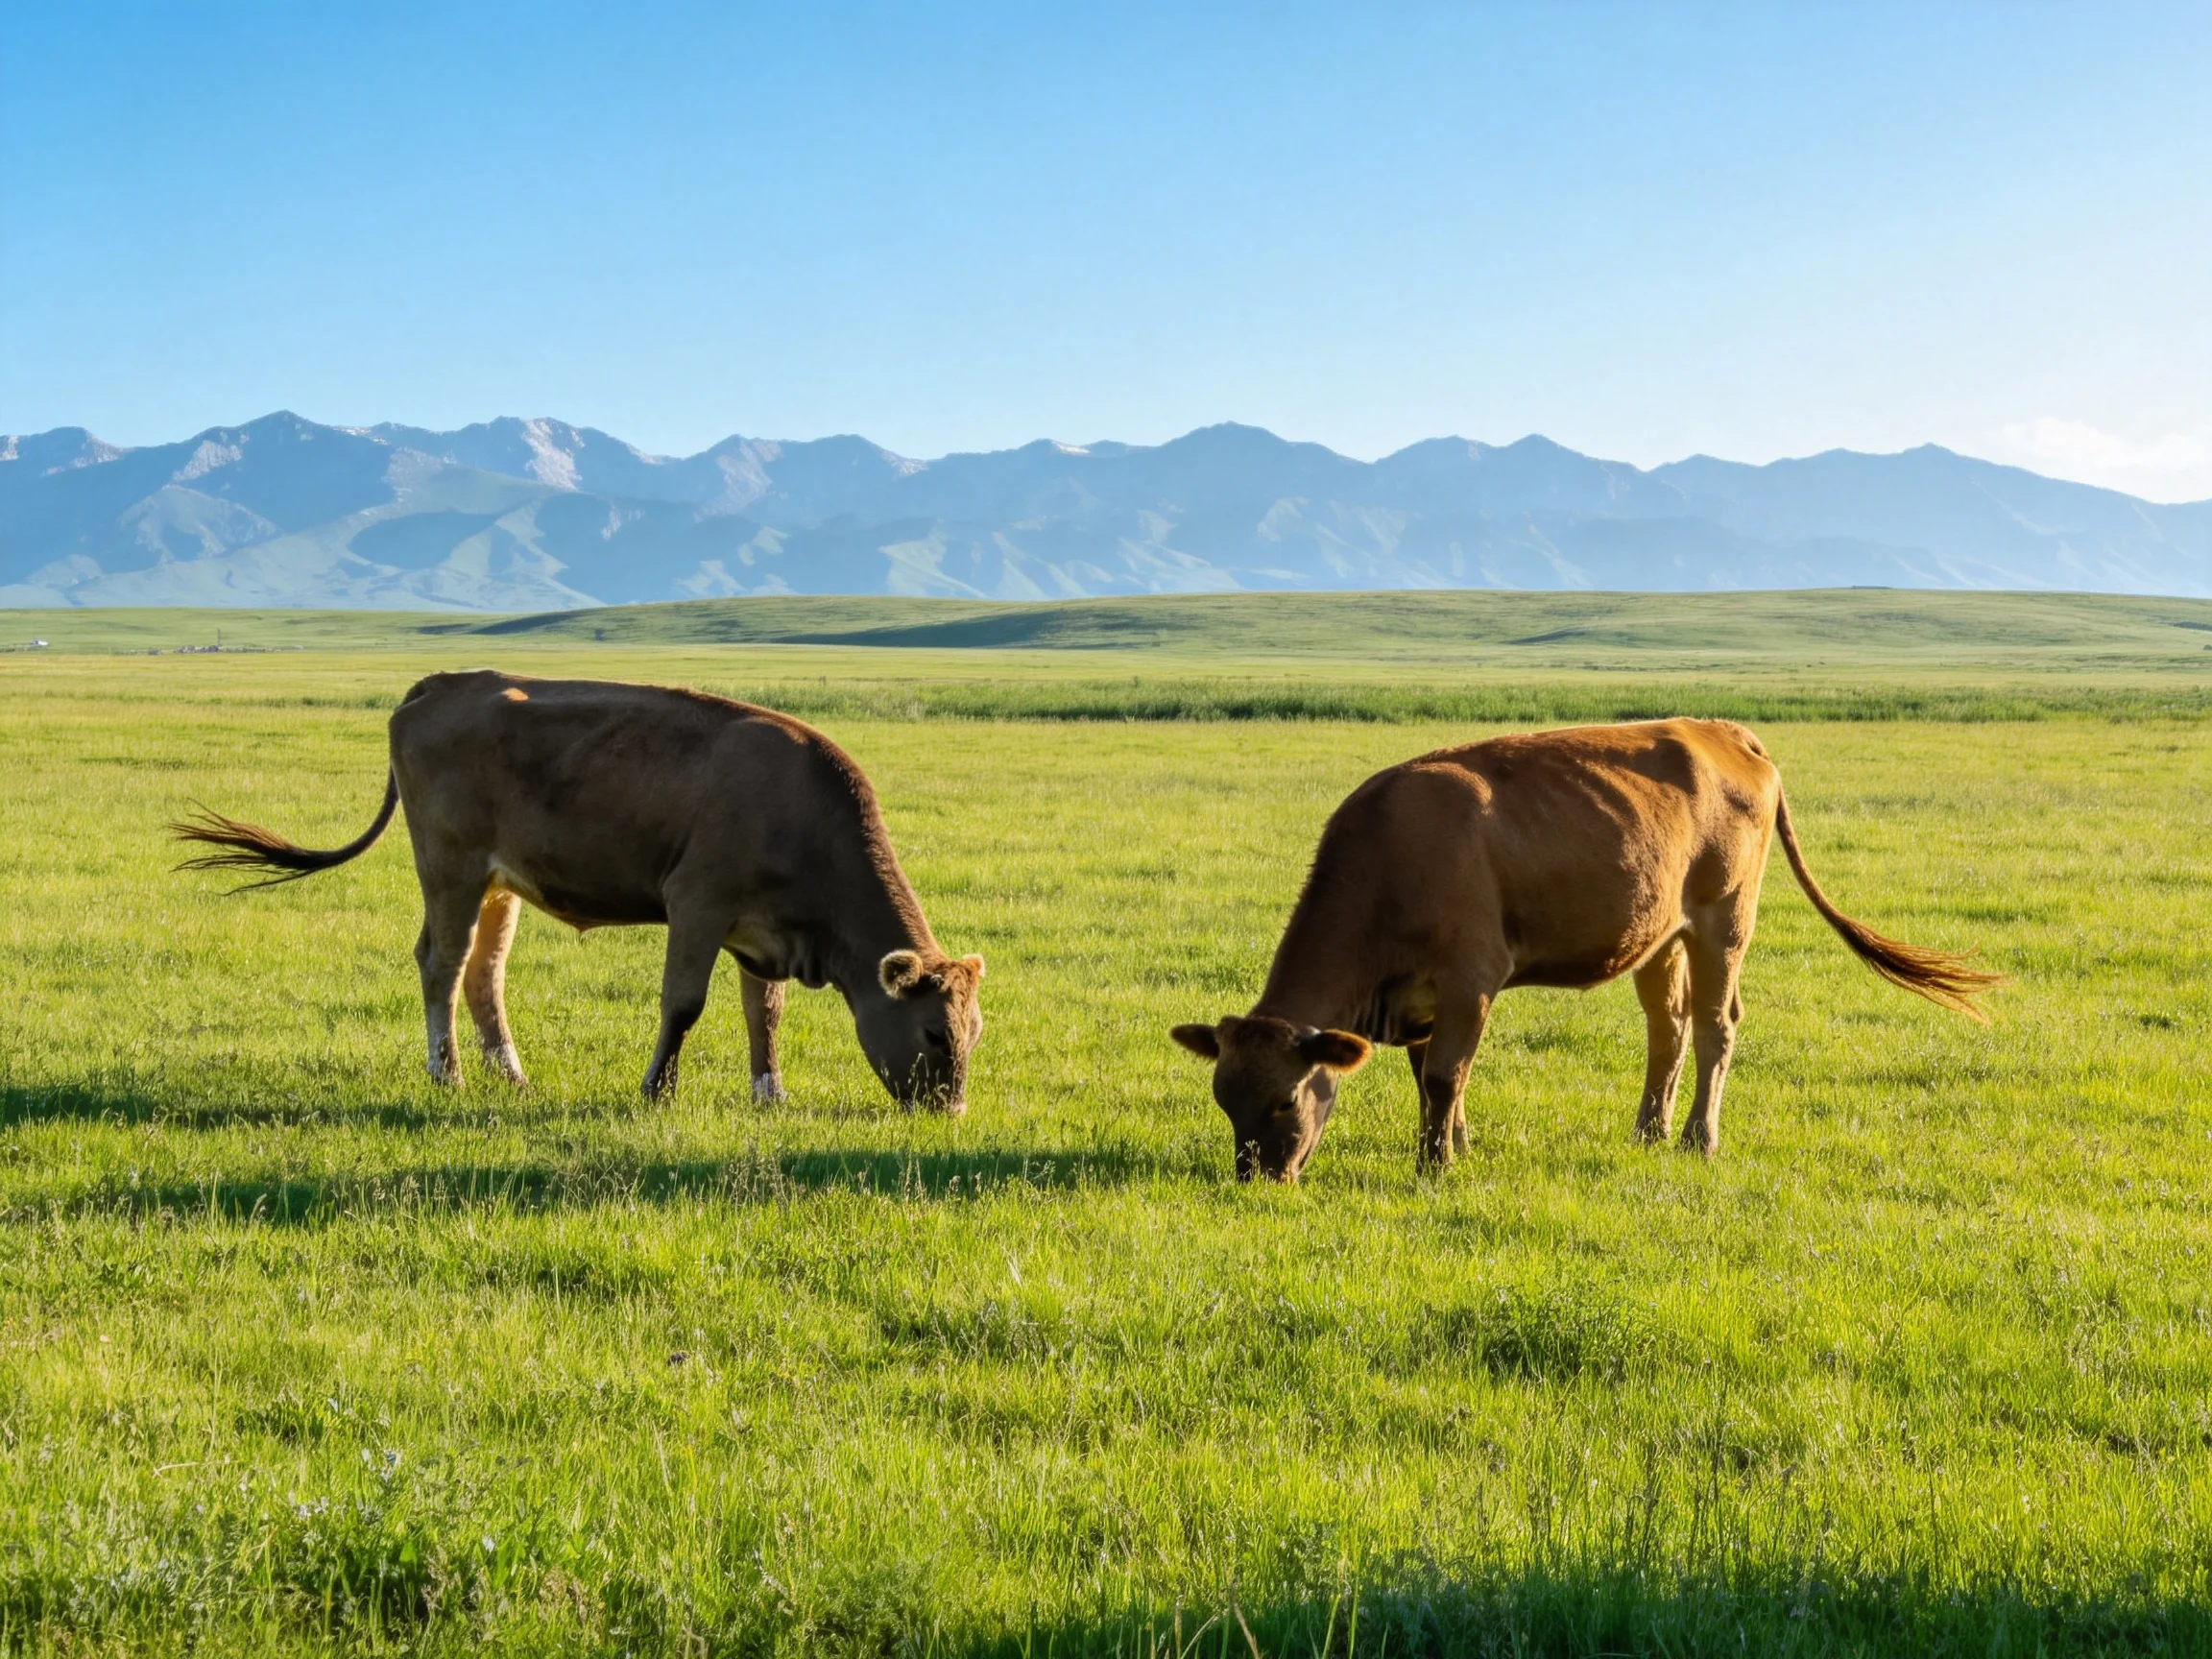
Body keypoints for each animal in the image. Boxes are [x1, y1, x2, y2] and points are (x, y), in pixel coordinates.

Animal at [173, 670, 985, 1110]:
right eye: (933, 1032)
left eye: (974, 1030)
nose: (950, 1111)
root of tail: (446, 682)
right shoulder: (698, 904)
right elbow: (683, 1004)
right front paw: (656, 1090)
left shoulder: (762, 935)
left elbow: (766, 1015)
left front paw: (770, 1093)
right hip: (451, 869)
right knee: (441, 965)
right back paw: (449, 1074)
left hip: (499, 883)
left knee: (484, 973)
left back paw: (510, 1072)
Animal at [1170, 718, 1998, 1180]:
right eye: (1223, 1100)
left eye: (1284, 1099)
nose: (1259, 1179)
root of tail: (1723, 729)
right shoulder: (1425, 999)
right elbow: (1436, 1080)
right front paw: (1458, 1145)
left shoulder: (1471, 978)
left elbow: (1443, 1076)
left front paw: (1435, 1166)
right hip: (1659, 932)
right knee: (1667, 1029)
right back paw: (1648, 1131)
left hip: (1725, 917)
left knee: (1714, 1026)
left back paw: (1698, 1139)